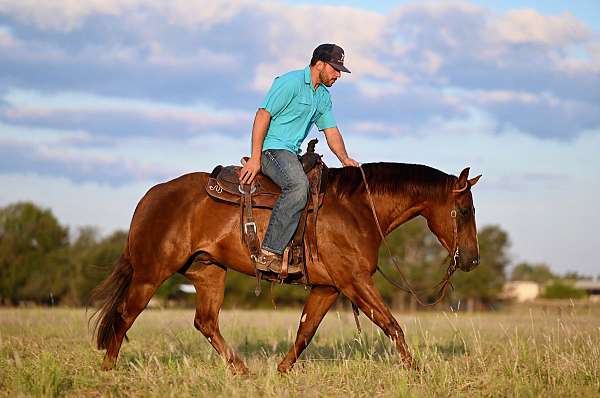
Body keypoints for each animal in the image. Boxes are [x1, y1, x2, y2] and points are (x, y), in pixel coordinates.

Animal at [90, 161, 482, 374]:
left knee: (206, 322)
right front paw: (417, 372)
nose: (472, 259)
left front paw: (280, 372)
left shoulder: (328, 288)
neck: (356, 208)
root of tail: (151, 196)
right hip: (150, 274)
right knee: (124, 316)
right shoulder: (354, 282)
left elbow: (305, 333)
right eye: (464, 211)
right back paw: (108, 371)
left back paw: (243, 372)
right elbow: (393, 326)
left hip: (209, 272)